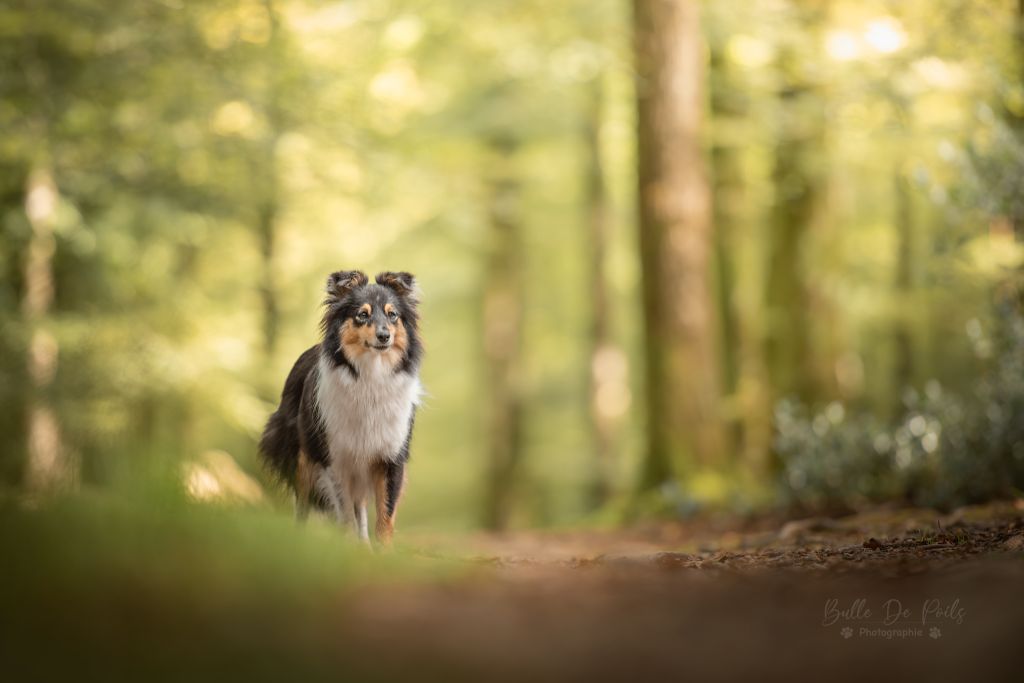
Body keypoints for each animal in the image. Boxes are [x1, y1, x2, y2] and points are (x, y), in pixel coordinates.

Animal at [262, 272, 425, 544]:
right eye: (362, 314)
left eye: (392, 314)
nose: (384, 336)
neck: (371, 378)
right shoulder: (334, 458)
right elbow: (345, 513)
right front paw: (348, 547)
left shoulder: (390, 457)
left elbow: (385, 515)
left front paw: (381, 550)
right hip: (304, 458)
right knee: (303, 505)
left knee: (361, 509)